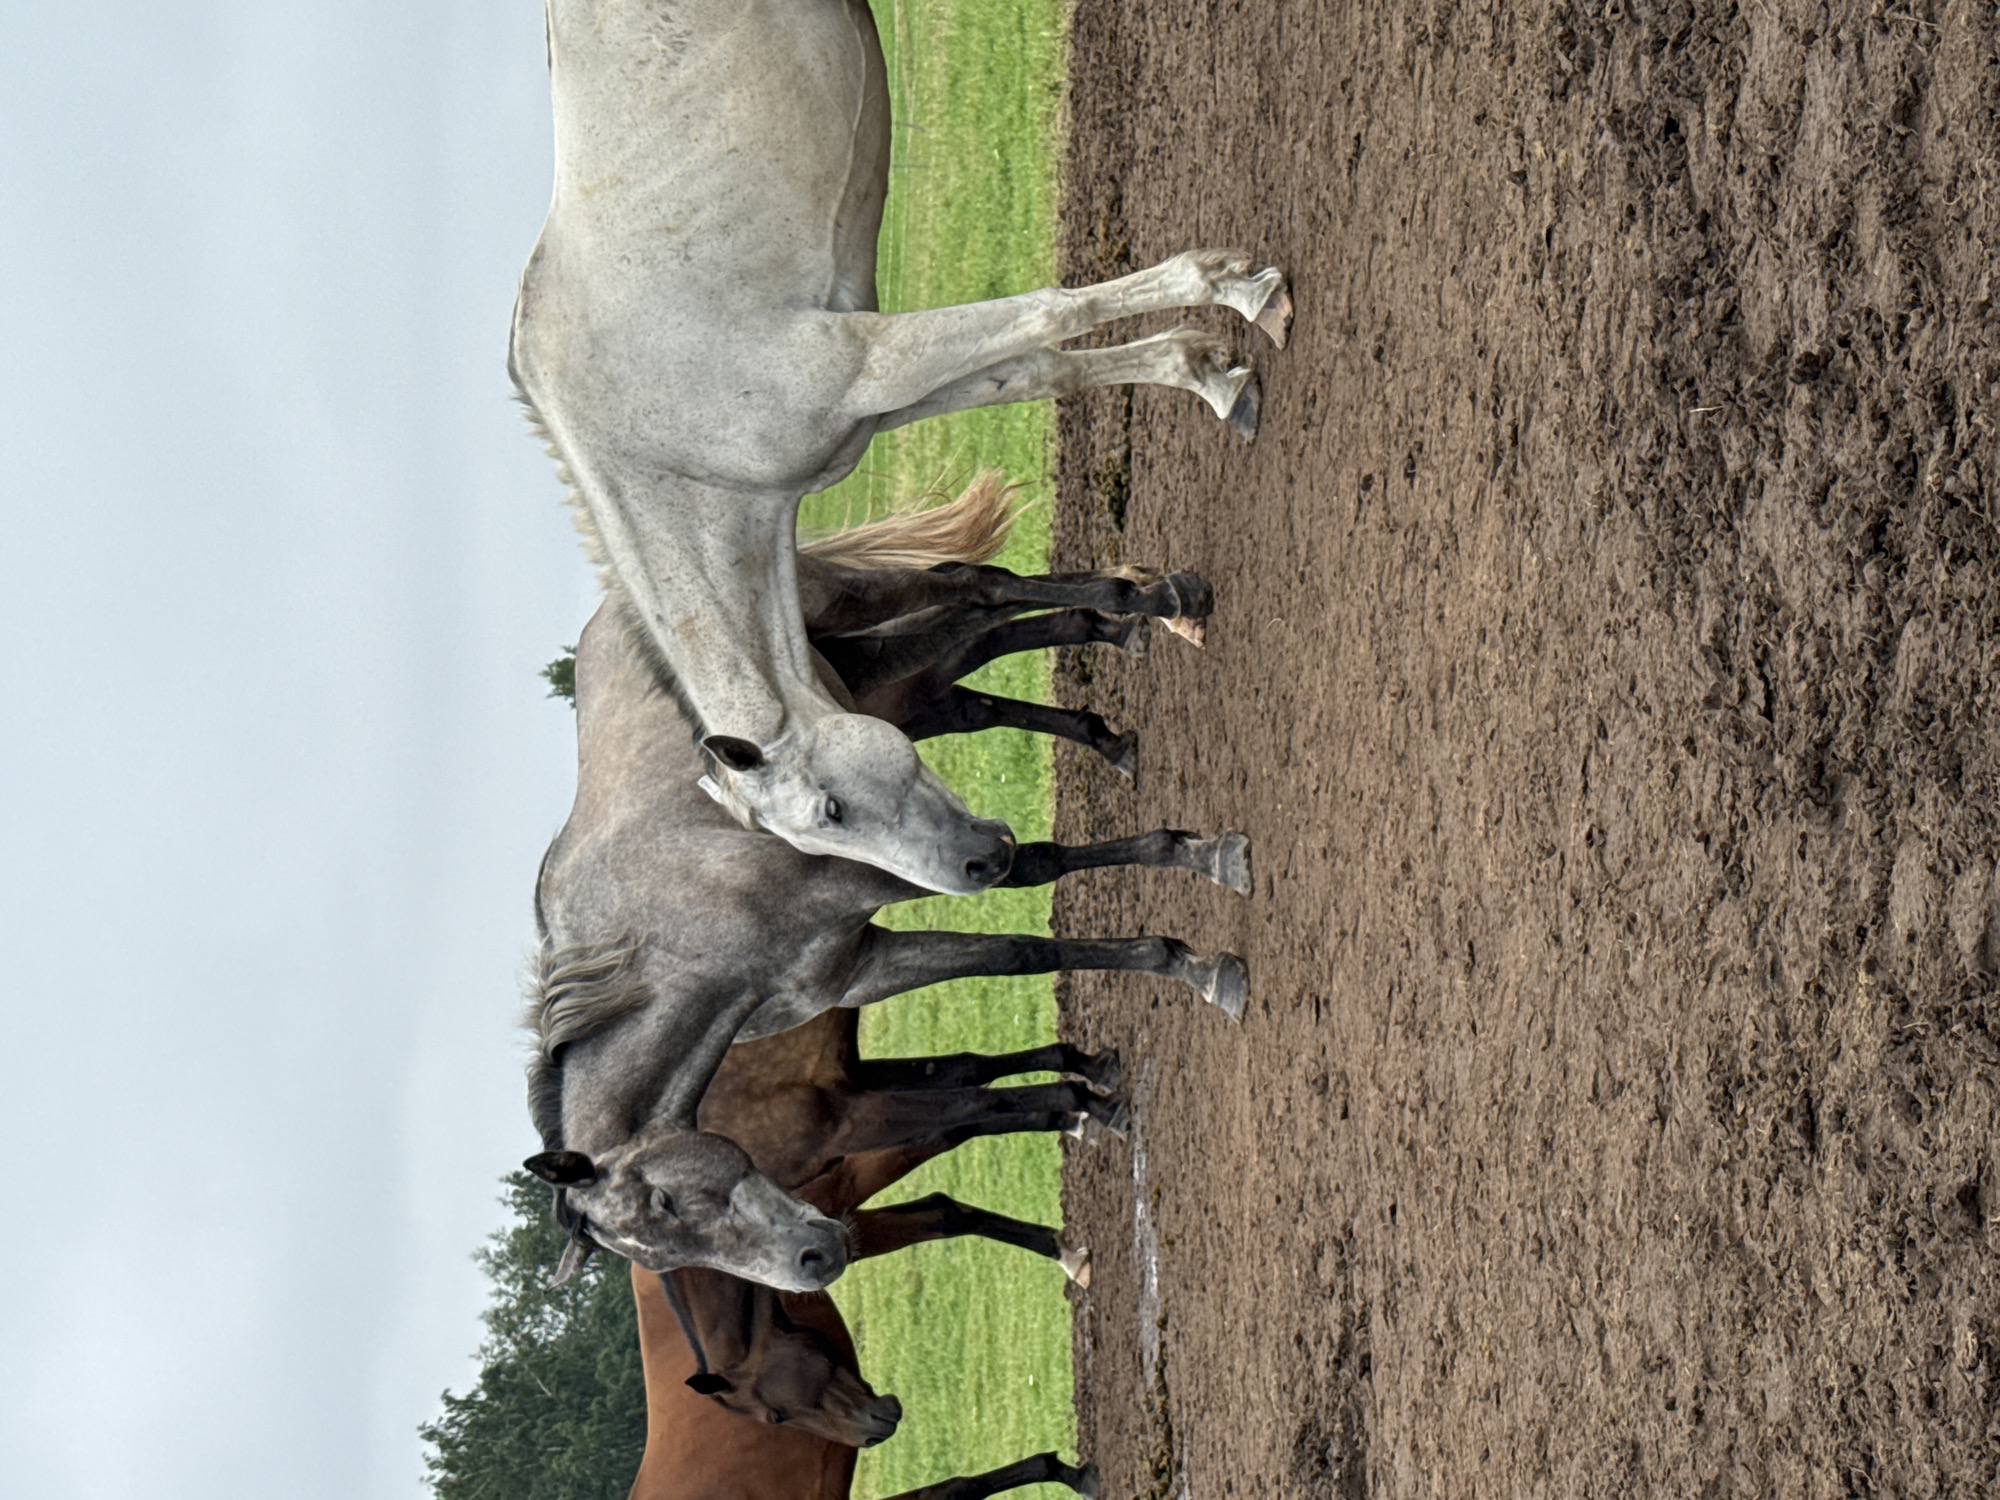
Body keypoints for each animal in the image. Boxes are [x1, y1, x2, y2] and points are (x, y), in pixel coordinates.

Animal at [510, 0, 1289, 895]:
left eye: (831, 811)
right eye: (814, 838)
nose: (977, 867)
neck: (667, 439)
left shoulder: (867, 359)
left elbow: (1051, 313)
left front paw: (1237, 291)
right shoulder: (881, 397)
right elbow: (1046, 368)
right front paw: (1207, 372)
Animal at [525, 495, 1253, 1293]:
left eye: (664, 1199)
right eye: (665, 1254)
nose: (814, 1262)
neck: (682, 926)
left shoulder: (884, 873)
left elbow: (1038, 886)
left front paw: (1197, 923)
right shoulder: (859, 967)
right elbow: (1010, 964)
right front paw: (1094, 1089)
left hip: (863, 616)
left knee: (977, 588)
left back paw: (1156, 604)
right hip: (877, 677)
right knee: (985, 643)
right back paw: (1118, 673)